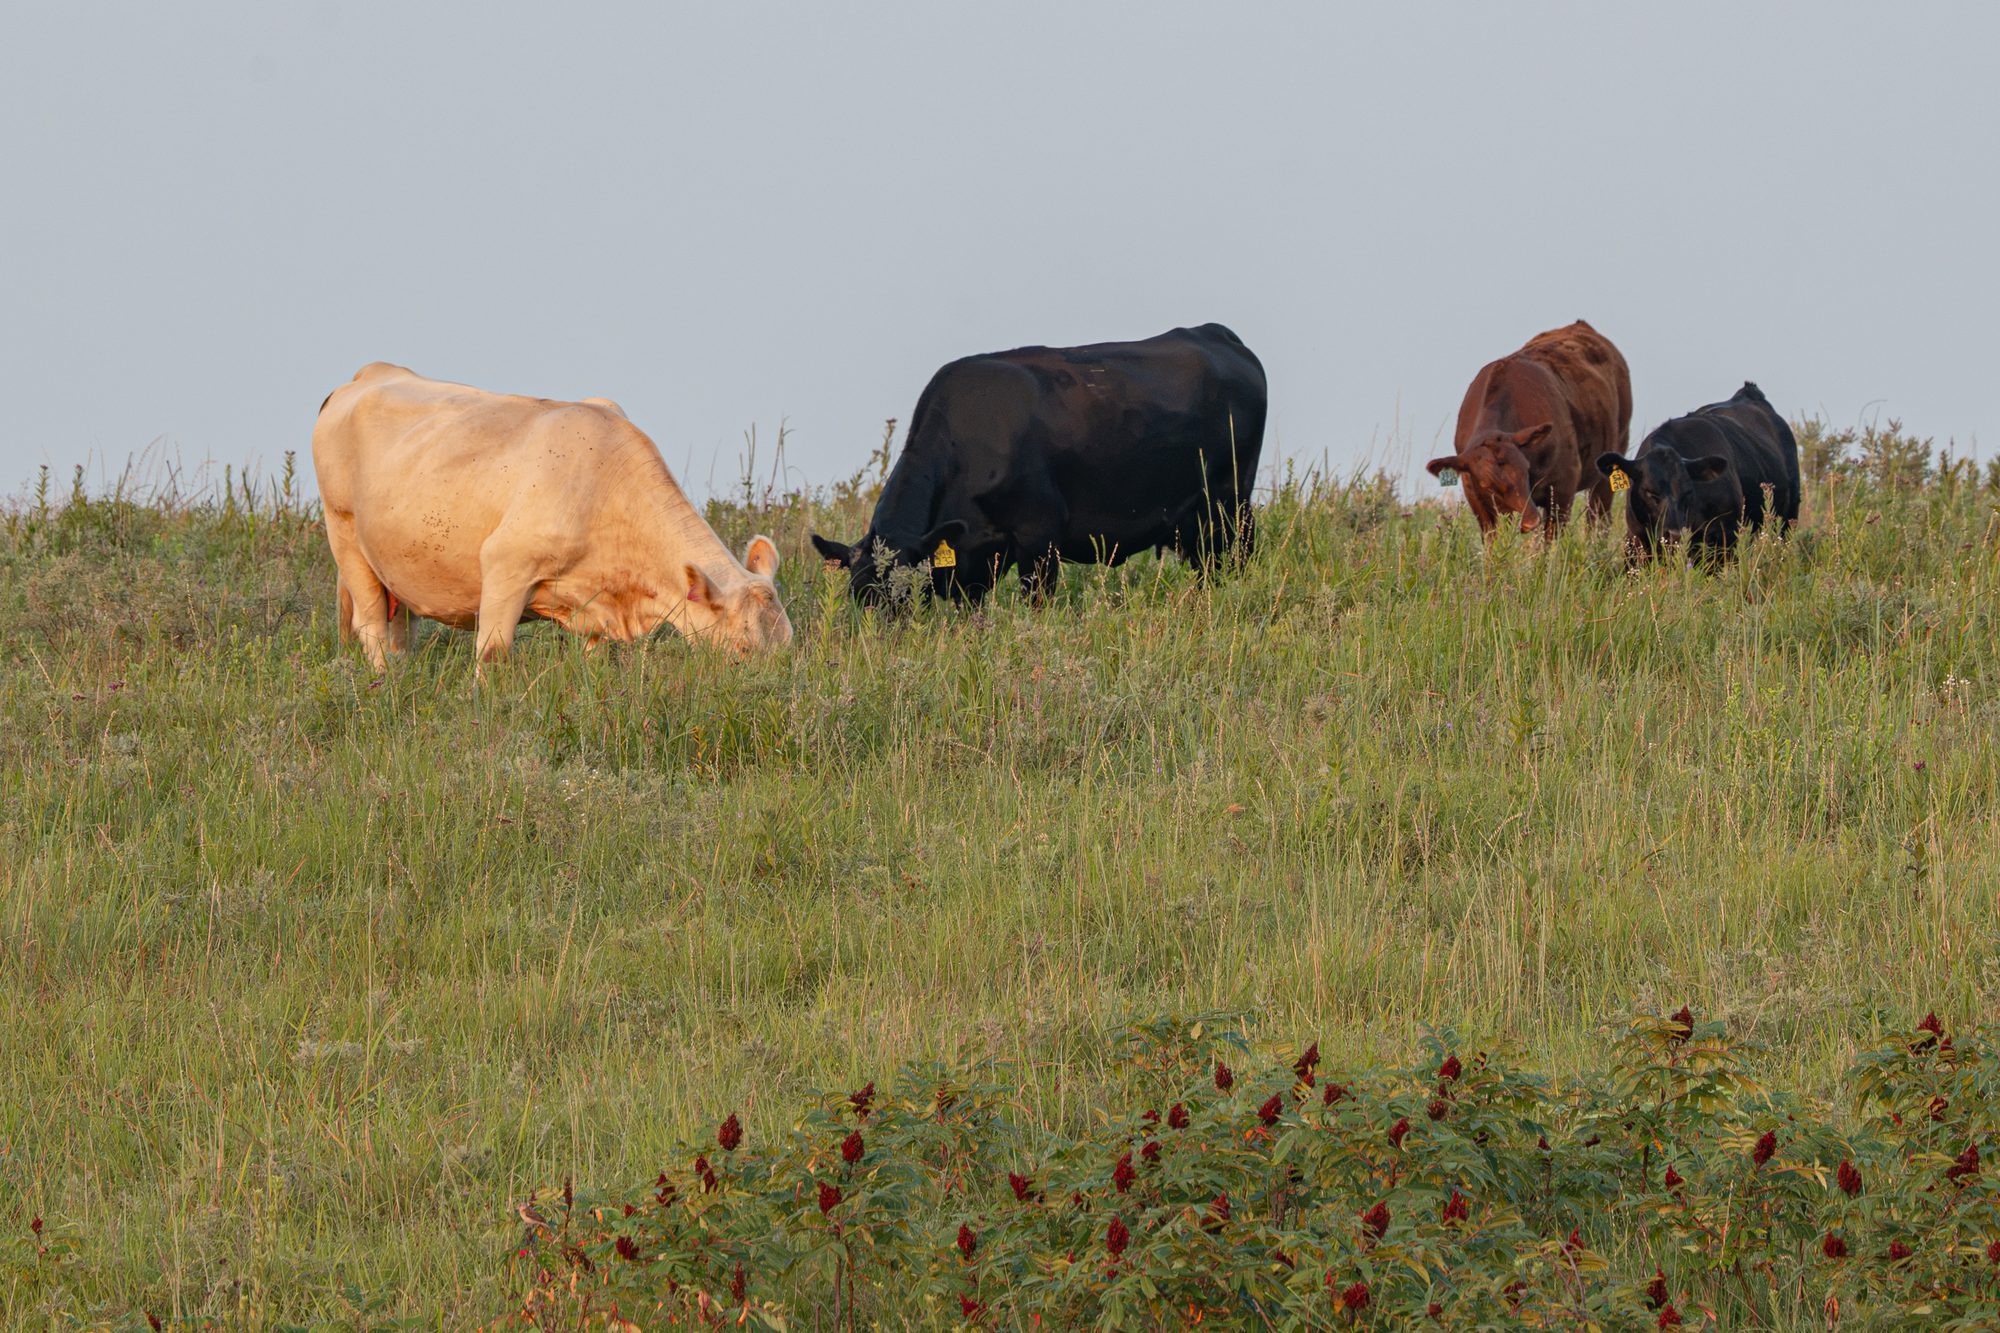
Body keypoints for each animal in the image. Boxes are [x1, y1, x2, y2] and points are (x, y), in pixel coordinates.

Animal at [311, 363, 791, 670]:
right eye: (742, 651)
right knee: (371, 624)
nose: (767, 692)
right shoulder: (505, 566)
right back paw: (383, 684)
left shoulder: (595, 601)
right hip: (345, 534)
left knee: (398, 628)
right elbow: (492, 654)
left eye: (787, 645)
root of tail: (371, 373)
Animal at [810, 323, 1267, 603]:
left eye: (907, 591)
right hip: (1194, 523)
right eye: (858, 596)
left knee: (1237, 560)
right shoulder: (973, 562)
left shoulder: (1041, 535)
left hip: (1230, 504)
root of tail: (1213, 333)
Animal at [1425, 320, 1632, 537]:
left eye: (1525, 470)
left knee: (1598, 519)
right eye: (1487, 485)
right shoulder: (1476, 499)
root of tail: (1580, 325)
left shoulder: (1563, 484)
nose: (1531, 521)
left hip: (1612, 460)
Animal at [1593, 382, 1800, 561]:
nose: (1675, 534)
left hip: (1788, 518)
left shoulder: (1725, 535)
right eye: (1650, 493)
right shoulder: (1635, 539)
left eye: (1688, 492)